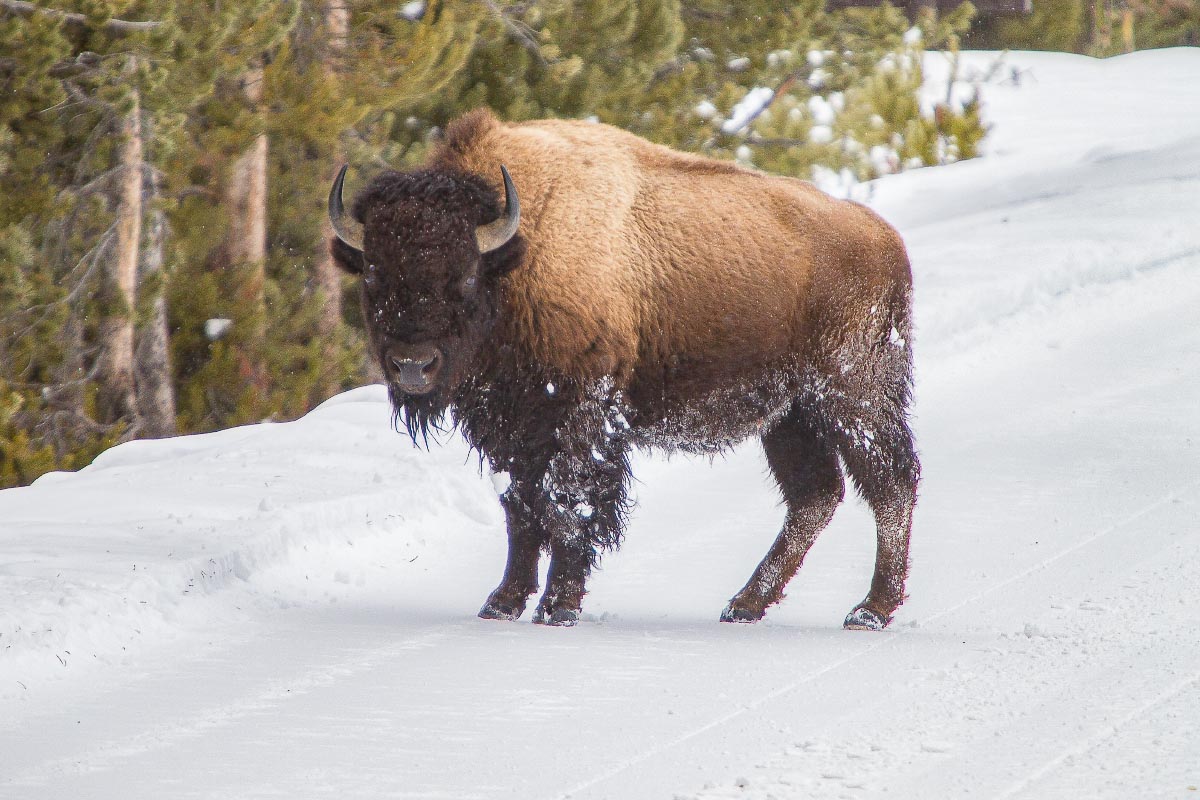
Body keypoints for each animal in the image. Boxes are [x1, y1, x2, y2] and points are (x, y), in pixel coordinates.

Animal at [328, 107, 916, 633]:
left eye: (465, 274)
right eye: (373, 273)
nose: (413, 365)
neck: (518, 254)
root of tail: (885, 238)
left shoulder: (580, 418)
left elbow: (569, 505)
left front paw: (558, 607)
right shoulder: (512, 429)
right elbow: (520, 509)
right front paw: (502, 602)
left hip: (852, 397)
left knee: (891, 483)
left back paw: (869, 610)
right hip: (789, 415)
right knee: (815, 495)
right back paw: (744, 604)